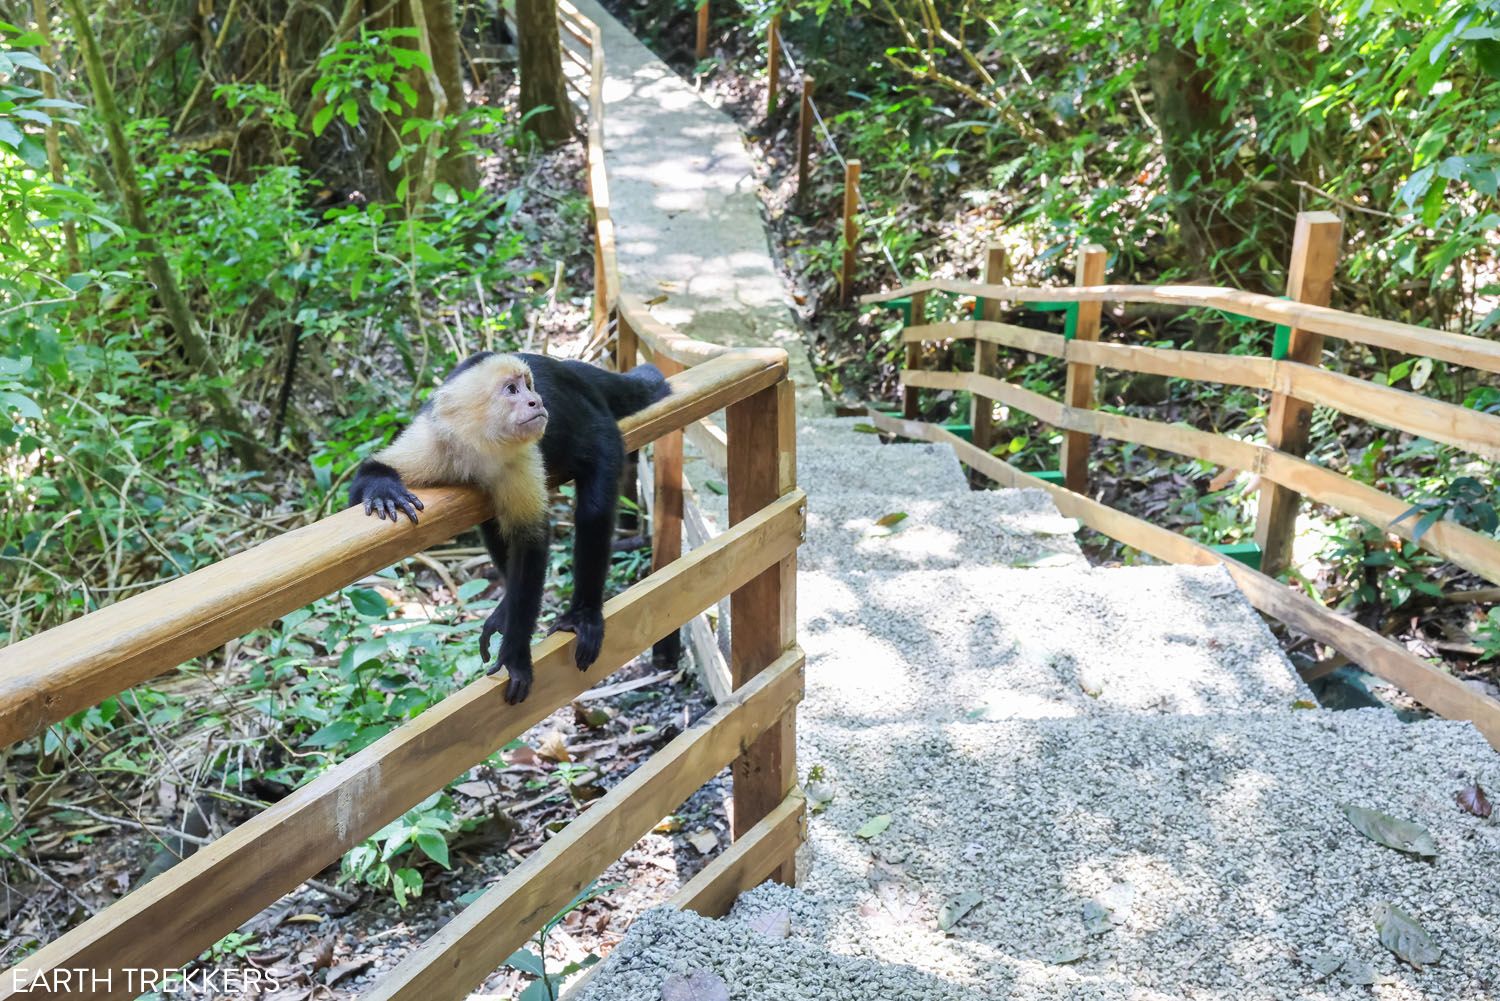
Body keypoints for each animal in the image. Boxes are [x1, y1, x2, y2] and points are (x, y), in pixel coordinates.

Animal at [349, 352, 670, 704]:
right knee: (492, 521)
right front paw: (382, 488)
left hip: (603, 430)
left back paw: (583, 615)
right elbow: (368, 473)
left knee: (593, 510)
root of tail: (567, 369)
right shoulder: (433, 441)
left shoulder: (521, 456)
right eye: (511, 390)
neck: (478, 446)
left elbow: (530, 543)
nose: (536, 401)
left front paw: (516, 657)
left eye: (528, 386)